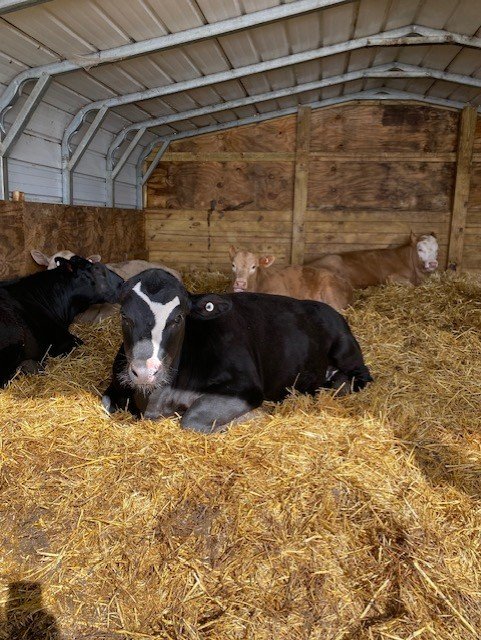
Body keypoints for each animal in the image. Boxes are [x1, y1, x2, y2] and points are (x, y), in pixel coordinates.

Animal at [102, 269, 372, 434]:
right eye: (124, 315)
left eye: (178, 318)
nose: (145, 372)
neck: (155, 397)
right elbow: (105, 402)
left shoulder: (245, 387)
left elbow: (191, 420)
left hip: (345, 348)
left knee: (361, 377)